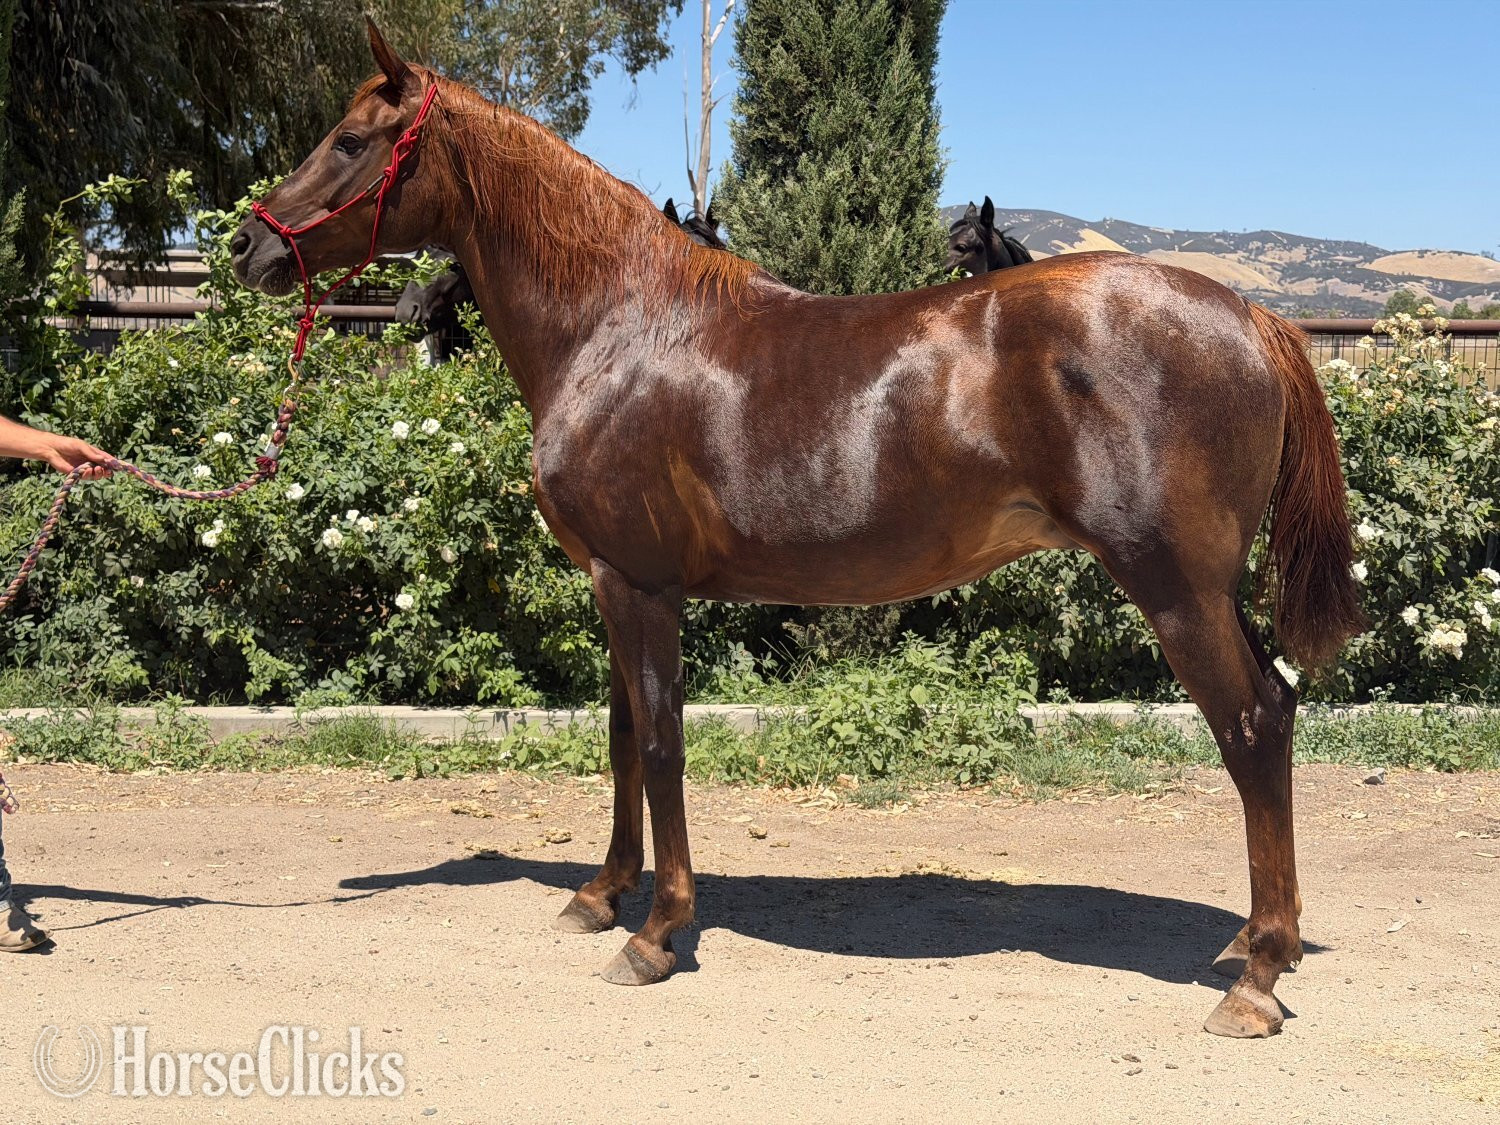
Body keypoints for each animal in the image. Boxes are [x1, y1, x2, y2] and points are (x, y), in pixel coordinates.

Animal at [231, 23, 1364, 1039]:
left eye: (350, 138)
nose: (246, 243)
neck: (621, 326)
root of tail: (1252, 317)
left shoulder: (638, 584)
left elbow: (662, 742)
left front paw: (656, 933)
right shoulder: (612, 580)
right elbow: (620, 735)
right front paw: (598, 894)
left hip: (1174, 589)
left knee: (1253, 726)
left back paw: (1255, 981)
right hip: (1211, 589)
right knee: (1276, 713)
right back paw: (1249, 944)